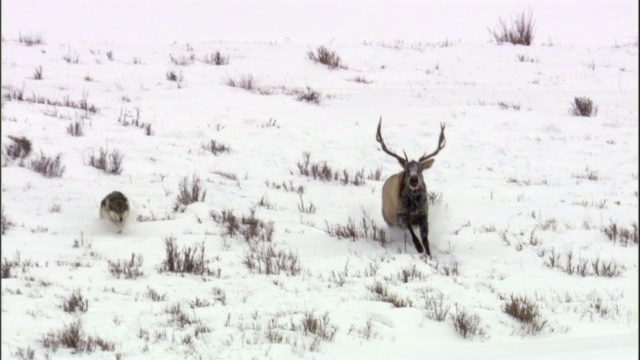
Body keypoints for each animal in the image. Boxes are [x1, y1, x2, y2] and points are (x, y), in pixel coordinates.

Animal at [376, 118, 444, 256]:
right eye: (407, 170)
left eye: (420, 169)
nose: (413, 179)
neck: (414, 207)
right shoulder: (400, 216)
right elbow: (412, 233)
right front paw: (419, 248)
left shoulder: (424, 214)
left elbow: (425, 239)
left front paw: (429, 255)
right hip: (388, 220)